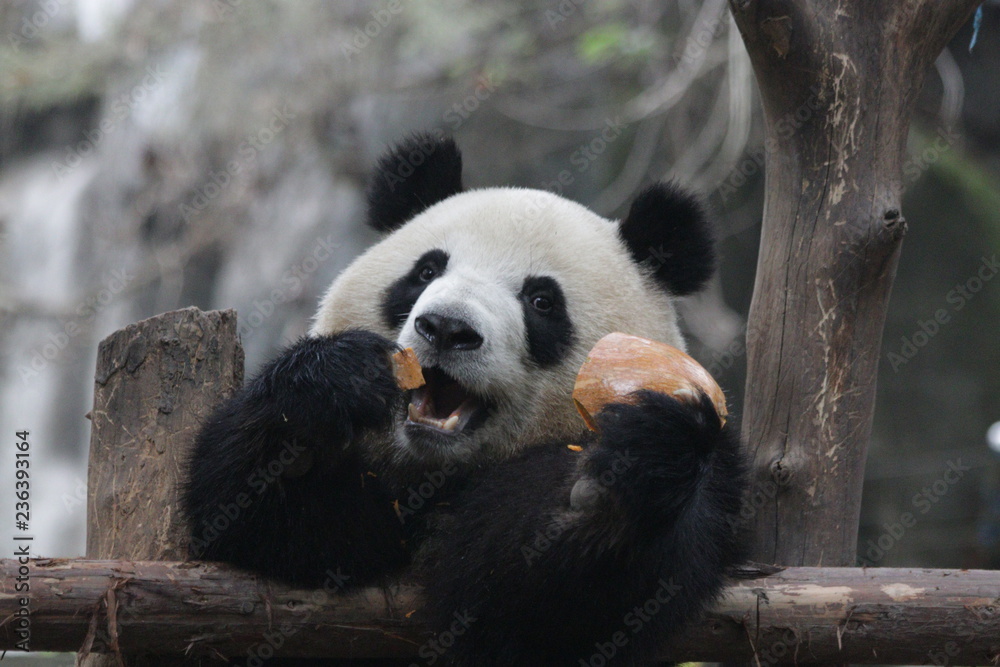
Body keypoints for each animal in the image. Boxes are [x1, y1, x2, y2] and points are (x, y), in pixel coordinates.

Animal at [182, 133, 746, 666]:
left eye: (542, 301)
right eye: (427, 271)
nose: (448, 328)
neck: (435, 472)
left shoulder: (711, 488)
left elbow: (536, 607)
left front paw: (618, 481)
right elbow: (261, 524)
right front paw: (323, 402)